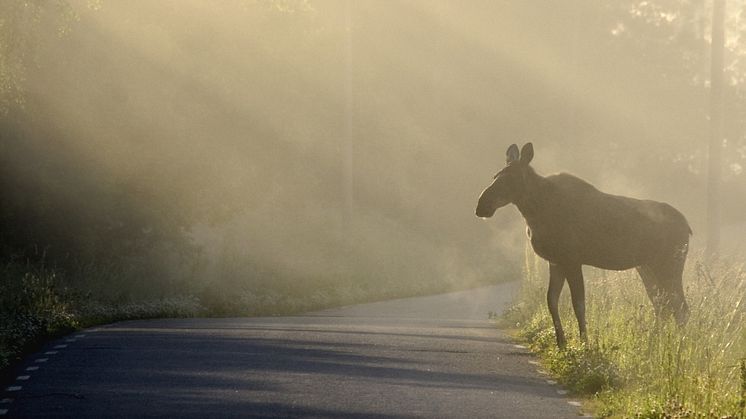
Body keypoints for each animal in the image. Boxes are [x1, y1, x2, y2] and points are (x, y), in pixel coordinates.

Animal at [480, 144, 688, 348]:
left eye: (511, 178)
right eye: (495, 176)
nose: (481, 205)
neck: (534, 213)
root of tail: (688, 227)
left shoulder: (572, 260)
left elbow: (578, 304)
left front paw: (584, 343)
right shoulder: (555, 261)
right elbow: (551, 300)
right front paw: (561, 342)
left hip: (669, 266)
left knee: (681, 308)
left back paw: (677, 347)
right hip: (646, 267)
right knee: (662, 305)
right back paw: (654, 343)